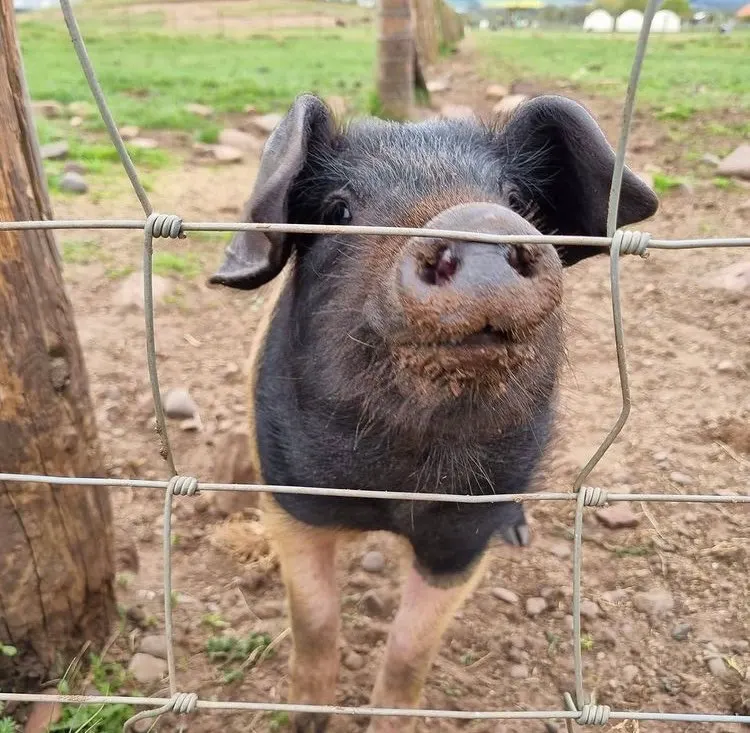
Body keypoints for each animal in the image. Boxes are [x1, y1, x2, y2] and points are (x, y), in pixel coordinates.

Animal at [209, 93, 658, 733]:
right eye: (338, 208)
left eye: (518, 201)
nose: (484, 222)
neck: (398, 478)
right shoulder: (289, 496)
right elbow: (315, 623)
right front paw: (306, 720)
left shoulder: (463, 531)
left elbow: (409, 650)